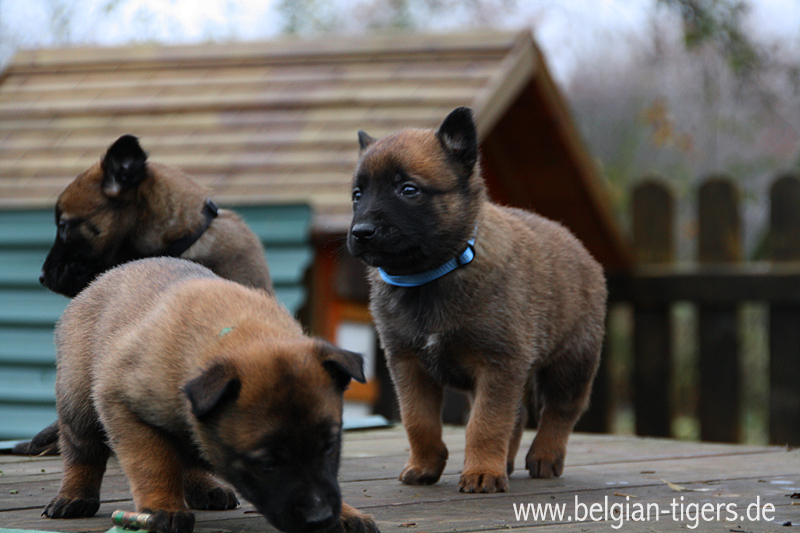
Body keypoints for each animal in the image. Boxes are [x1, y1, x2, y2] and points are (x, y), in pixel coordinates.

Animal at [44, 257, 378, 533]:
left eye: (330, 447)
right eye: (267, 463)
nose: (319, 519)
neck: (244, 335)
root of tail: (99, 280)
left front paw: (345, 514)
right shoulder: (125, 407)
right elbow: (153, 464)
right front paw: (164, 508)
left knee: (189, 454)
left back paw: (205, 487)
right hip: (77, 401)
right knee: (82, 453)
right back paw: (74, 496)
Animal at [346, 107, 607, 493]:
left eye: (408, 190)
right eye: (357, 195)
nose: (360, 233)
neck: (431, 275)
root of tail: (577, 245)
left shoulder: (497, 364)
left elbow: (485, 423)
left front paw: (482, 472)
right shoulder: (409, 365)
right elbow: (419, 421)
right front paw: (426, 465)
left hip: (572, 363)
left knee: (560, 411)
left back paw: (544, 456)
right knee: (519, 415)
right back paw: (506, 462)